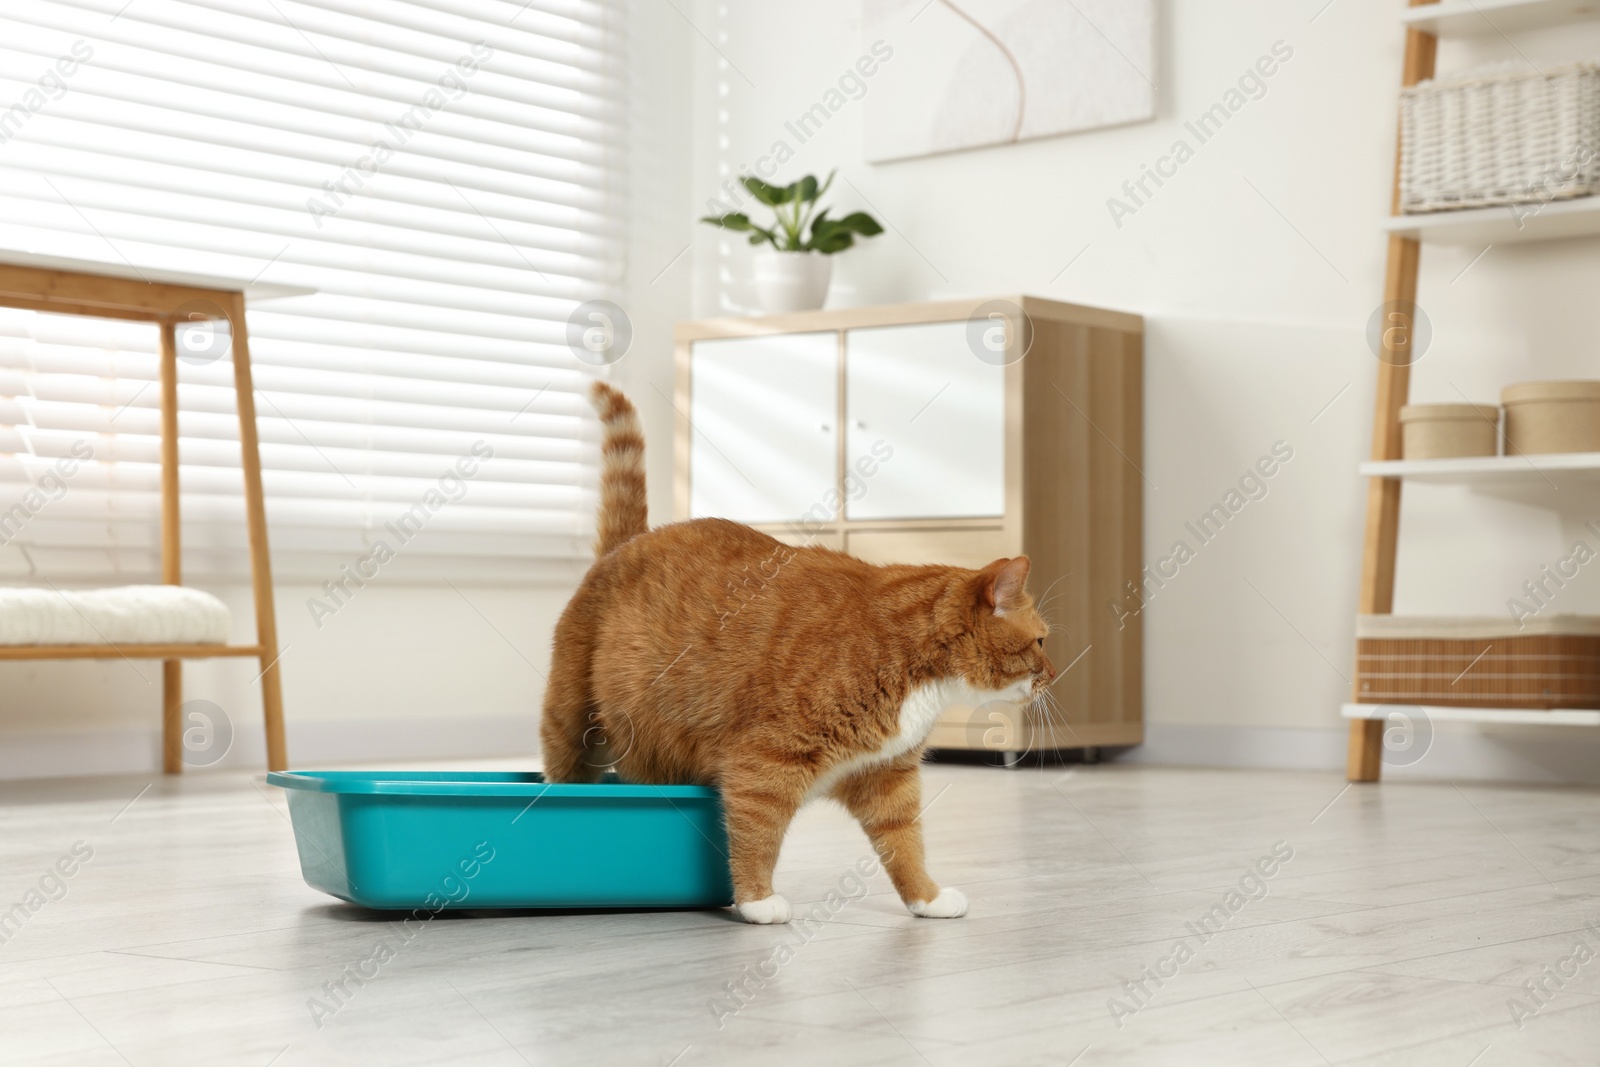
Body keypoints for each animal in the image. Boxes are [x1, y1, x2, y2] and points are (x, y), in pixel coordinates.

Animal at [544, 383, 1056, 927]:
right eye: (1041, 641)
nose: (1054, 673)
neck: (911, 658)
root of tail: (625, 545)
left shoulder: (887, 777)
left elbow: (905, 843)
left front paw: (928, 898)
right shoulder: (764, 763)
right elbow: (758, 836)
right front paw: (757, 901)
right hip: (570, 723)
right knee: (564, 766)